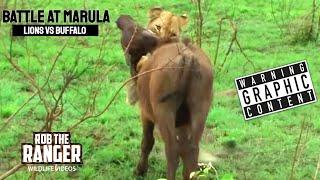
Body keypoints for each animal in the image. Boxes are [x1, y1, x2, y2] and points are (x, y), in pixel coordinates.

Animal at [116, 15, 214, 179]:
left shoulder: (145, 113)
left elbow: (147, 141)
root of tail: (188, 57)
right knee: (191, 150)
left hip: (164, 110)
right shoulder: (182, 124)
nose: (122, 19)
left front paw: (140, 170)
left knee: (172, 150)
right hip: (199, 109)